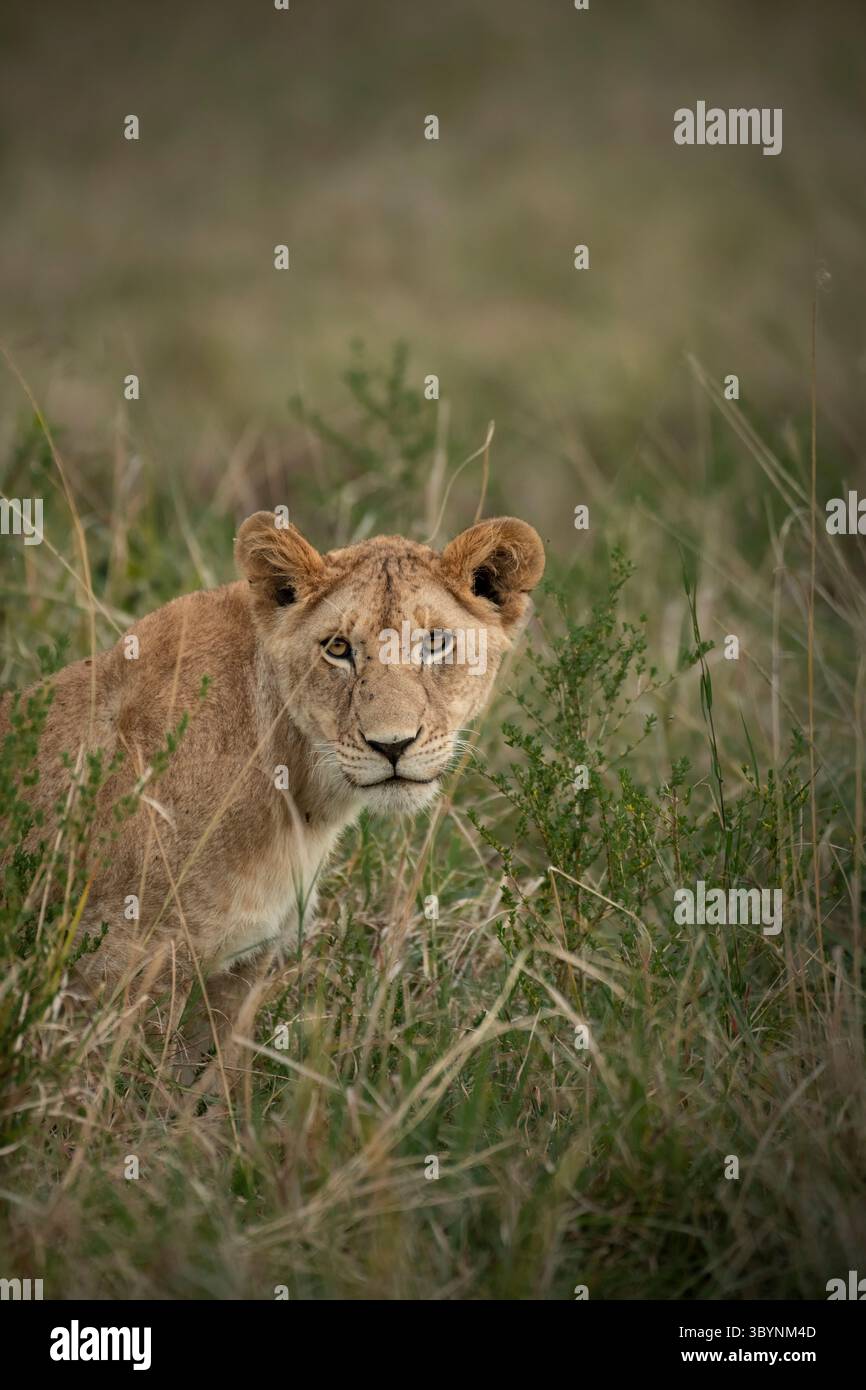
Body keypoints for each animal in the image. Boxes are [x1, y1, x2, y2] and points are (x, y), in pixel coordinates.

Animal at [3, 511, 544, 1045]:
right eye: (338, 648)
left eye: (435, 643)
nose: (392, 745)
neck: (299, 793)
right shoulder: (127, 967)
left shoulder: (242, 966)